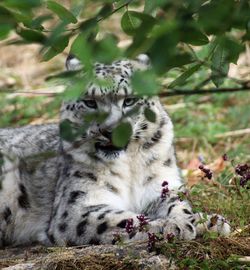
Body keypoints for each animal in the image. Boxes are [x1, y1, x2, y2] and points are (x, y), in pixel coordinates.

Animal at [0, 54, 230, 247]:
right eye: (89, 102)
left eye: (129, 100)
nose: (110, 130)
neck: (130, 167)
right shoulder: (77, 208)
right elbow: (124, 219)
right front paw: (173, 226)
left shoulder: (160, 186)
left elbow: (179, 204)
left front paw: (206, 221)